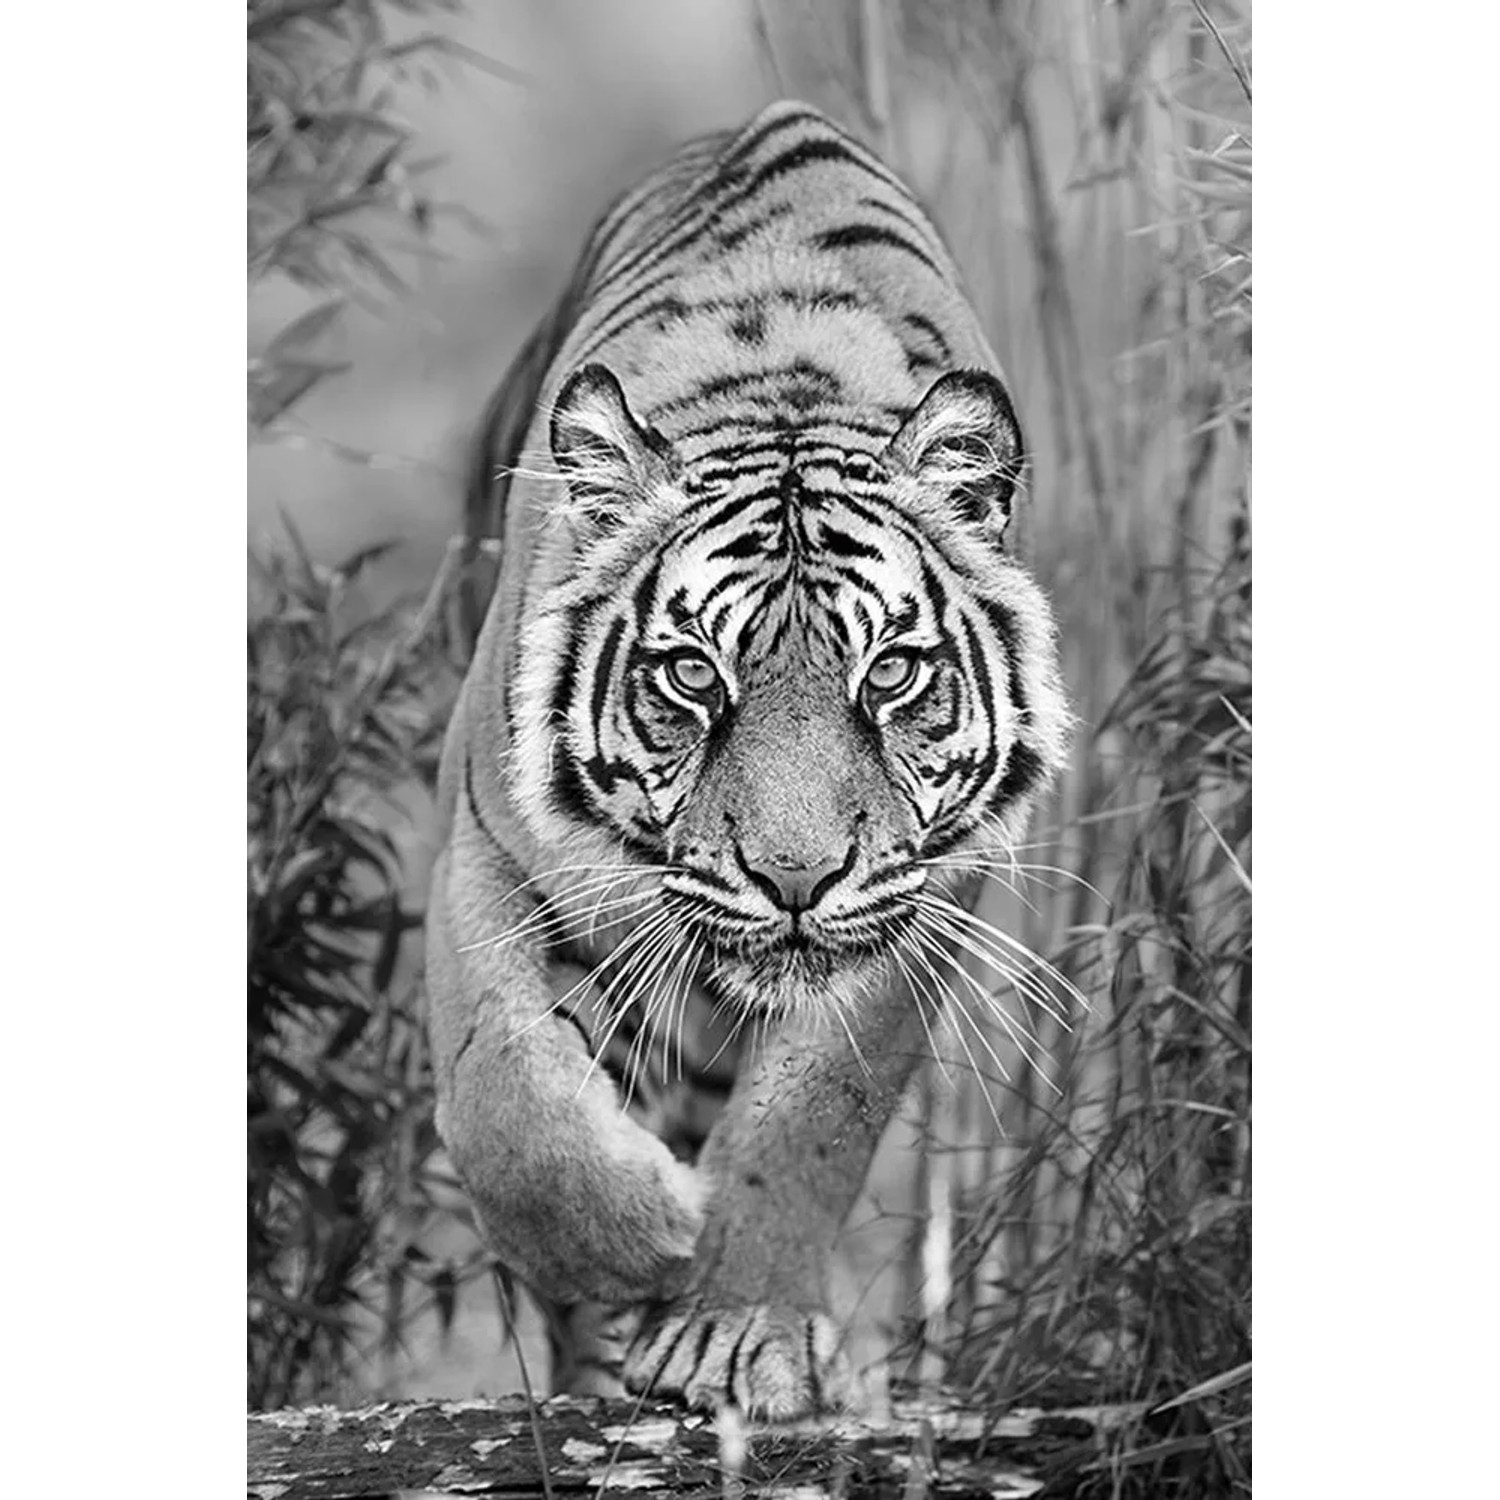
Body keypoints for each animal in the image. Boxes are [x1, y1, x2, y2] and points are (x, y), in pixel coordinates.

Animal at [425, 100, 1071, 1419]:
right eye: (690, 676)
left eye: (891, 673)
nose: (794, 880)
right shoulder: (484, 852)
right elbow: (504, 1091)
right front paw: (638, 1240)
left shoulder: (924, 899)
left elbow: (812, 1118)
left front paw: (731, 1330)